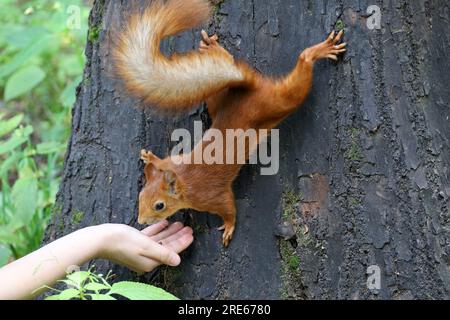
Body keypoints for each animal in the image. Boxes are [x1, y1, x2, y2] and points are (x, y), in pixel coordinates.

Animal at [114, 0, 346, 245]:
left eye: (160, 205)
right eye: (141, 195)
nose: (141, 220)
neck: (185, 182)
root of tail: (251, 89)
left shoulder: (212, 195)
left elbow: (228, 208)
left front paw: (228, 227)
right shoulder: (176, 162)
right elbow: (166, 160)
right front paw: (151, 158)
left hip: (280, 102)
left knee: (302, 65)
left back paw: (319, 51)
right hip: (217, 97)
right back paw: (214, 49)